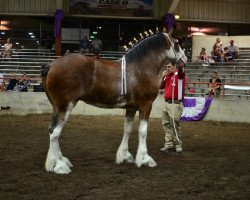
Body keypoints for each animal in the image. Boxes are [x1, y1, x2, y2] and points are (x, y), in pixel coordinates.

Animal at [41, 32, 187, 173]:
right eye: (177, 43)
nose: (184, 59)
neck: (141, 67)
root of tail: (51, 65)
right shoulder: (146, 105)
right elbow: (143, 131)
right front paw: (145, 159)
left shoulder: (131, 108)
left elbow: (127, 129)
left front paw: (125, 156)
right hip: (65, 106)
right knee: (55, 132)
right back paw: (59, 166)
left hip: (57, 107)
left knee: (51, 130)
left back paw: (58, 161)